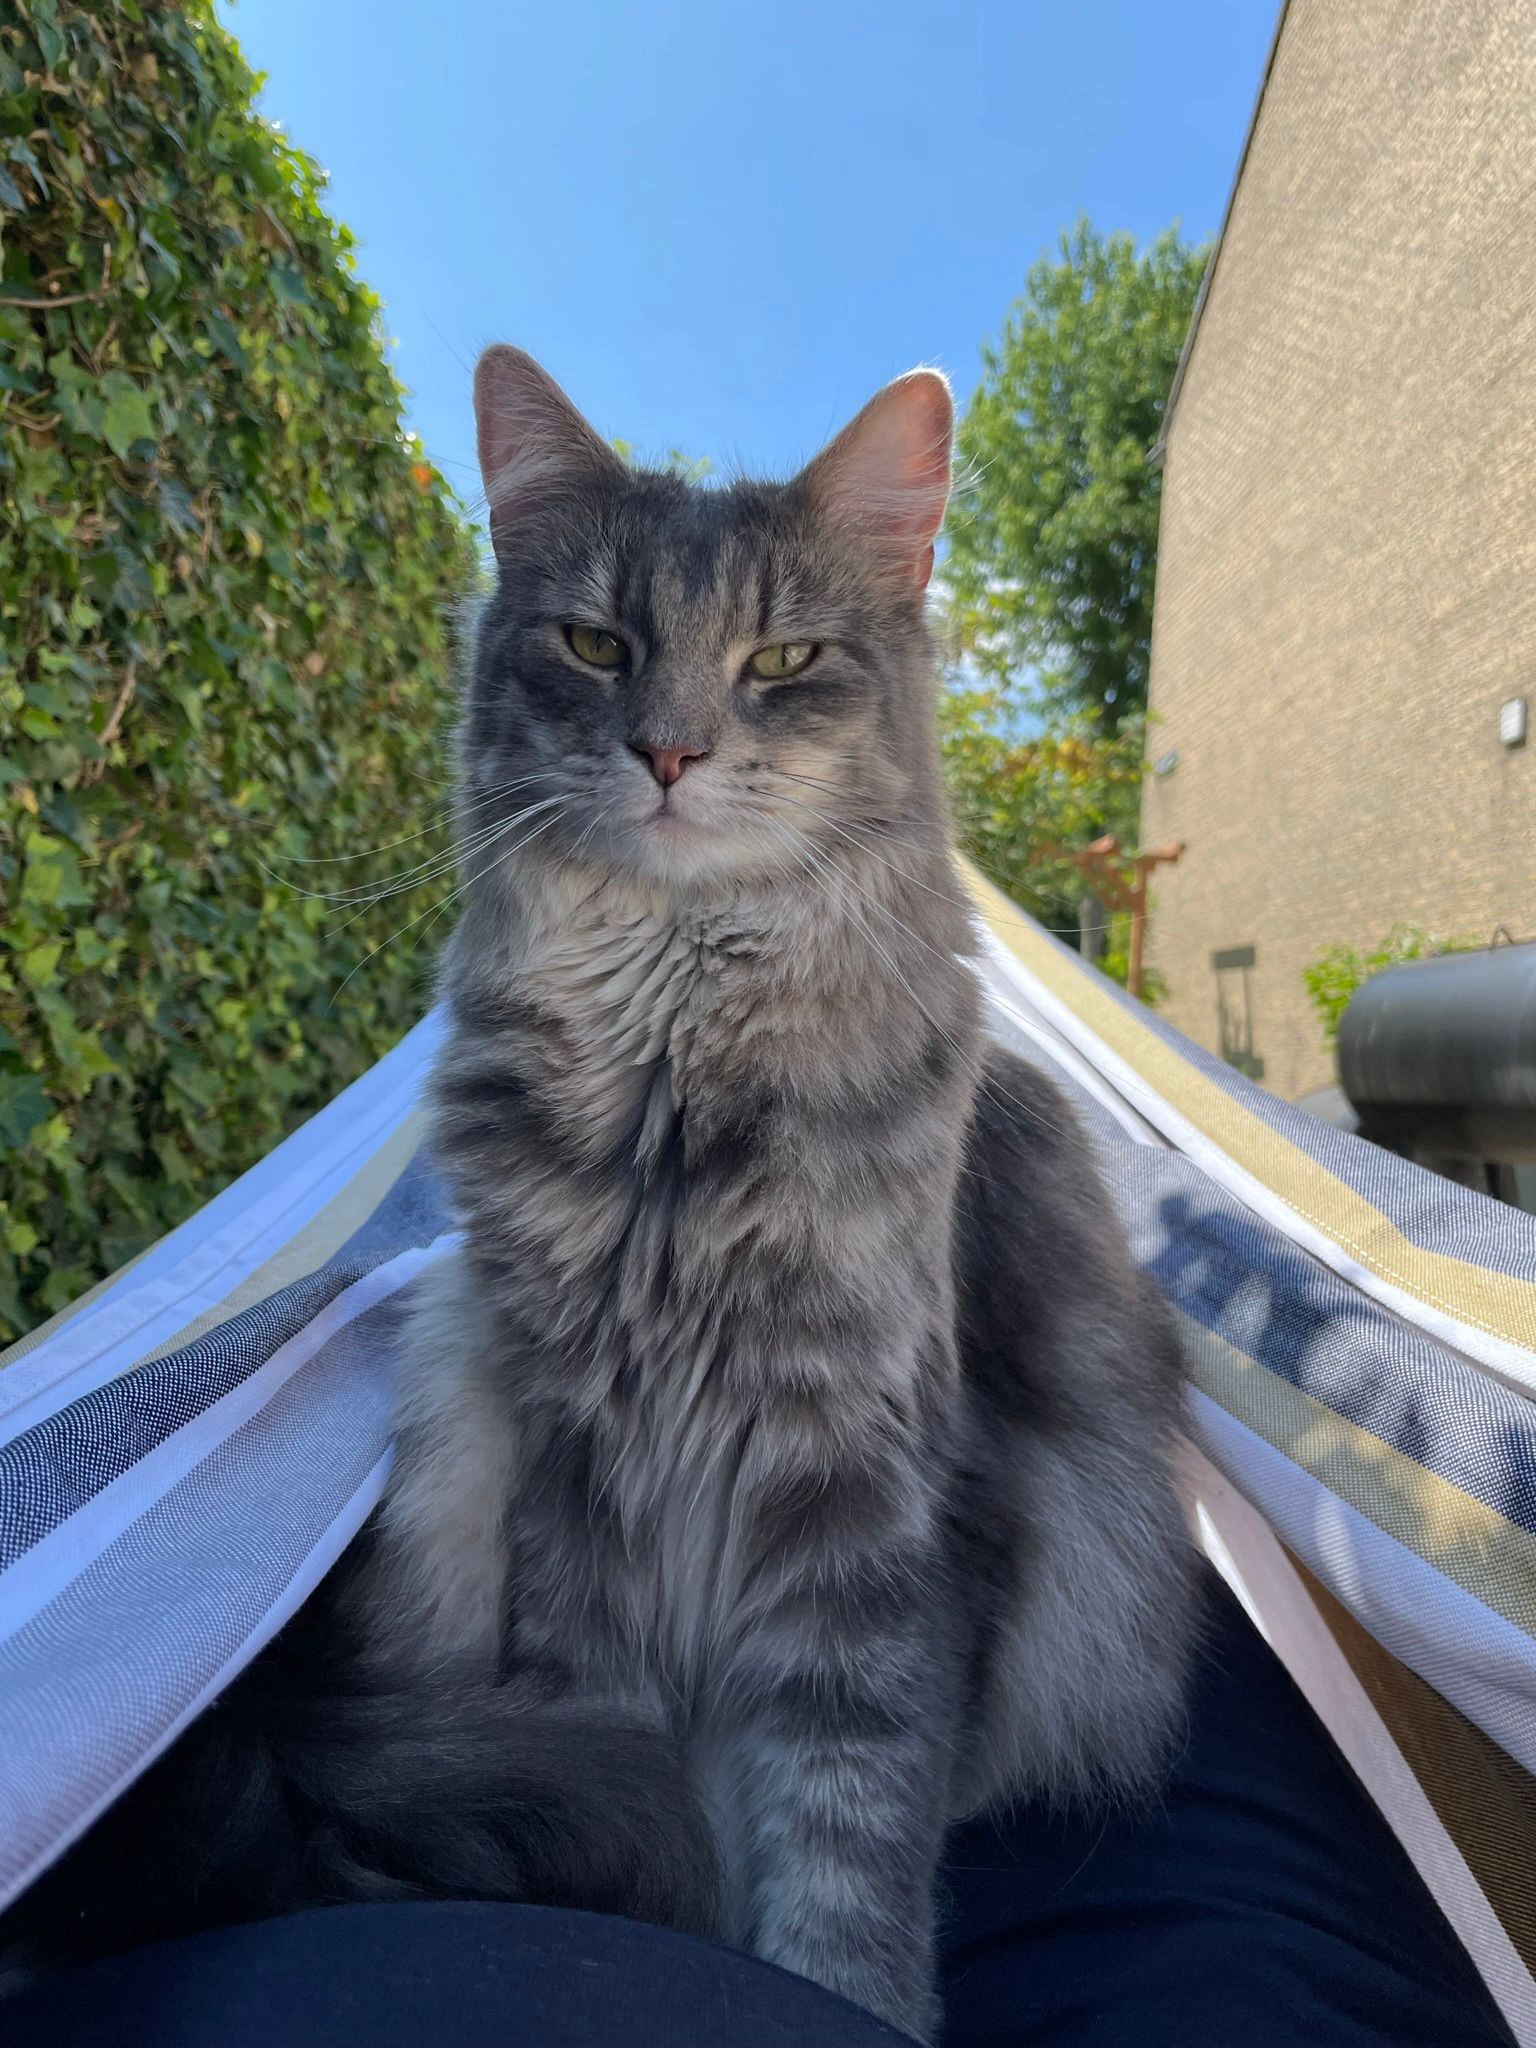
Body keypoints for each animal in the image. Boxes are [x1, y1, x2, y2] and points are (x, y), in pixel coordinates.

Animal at [0, 350, 1195, 2042]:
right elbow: (622, 1725)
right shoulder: (572, 1462)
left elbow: (849, 1825)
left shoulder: (875, 1493)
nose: (673, 751)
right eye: (596, 644)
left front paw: (832, 1990)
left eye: (781, 659)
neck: (671, 1113)